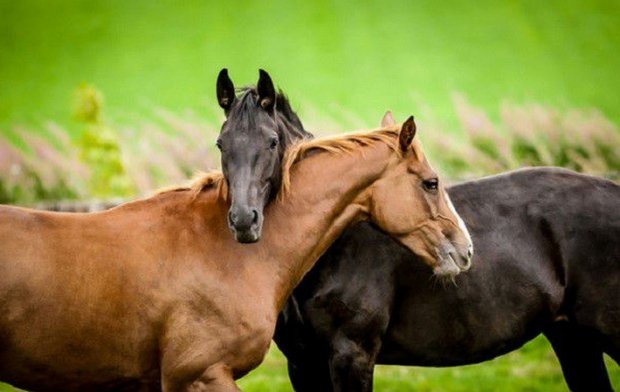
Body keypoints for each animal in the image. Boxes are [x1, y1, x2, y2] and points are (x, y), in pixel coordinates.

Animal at [214, 69, 620, 388]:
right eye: (221, 143)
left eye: (272, 141)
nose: (244, 220)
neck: (331, 250)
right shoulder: (303, 364)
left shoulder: (351, 357)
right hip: (573, 340)